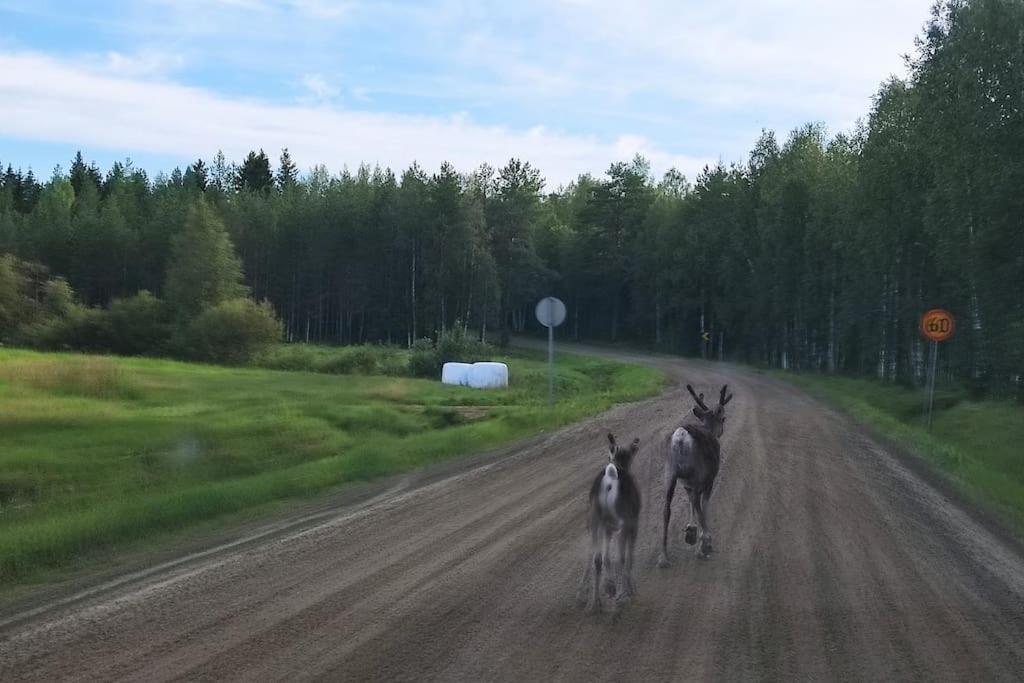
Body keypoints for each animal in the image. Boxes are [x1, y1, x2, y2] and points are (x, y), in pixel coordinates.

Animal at [582, 433, 641, 611]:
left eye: (608, 455)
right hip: (623, 523)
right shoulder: (633, 525)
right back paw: (622, 596)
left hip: (596, 522)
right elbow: (628, 558)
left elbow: (606, 557)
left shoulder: (607, 528)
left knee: (597, 559)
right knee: (620, 559)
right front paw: (629, 589)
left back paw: (596, 603)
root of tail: (610, 478)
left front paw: (609, 587)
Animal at [658, 384, 732, 566]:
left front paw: (690, 529)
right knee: (698, 503)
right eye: (723, 418)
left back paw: (663, 557)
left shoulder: (686, 483)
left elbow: (690, 503)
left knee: (666, 508)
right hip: (698, 473)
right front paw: (700, 537)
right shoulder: (709, 479)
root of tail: (681, 438)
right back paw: (704, 544)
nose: (721, 431)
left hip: (669, 472)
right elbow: (704, 505)